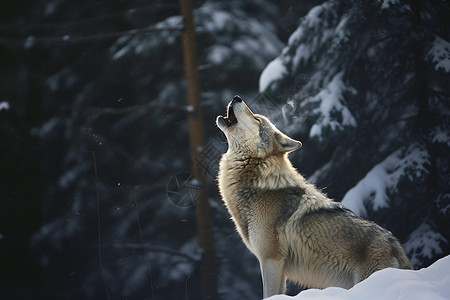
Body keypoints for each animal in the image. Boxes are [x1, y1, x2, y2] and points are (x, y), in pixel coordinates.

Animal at [216, 95, 414, 298]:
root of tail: (397, 247)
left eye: (257, 119)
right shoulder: (279, 268)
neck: (259, 184)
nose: (237, 97)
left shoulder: (271, 260)